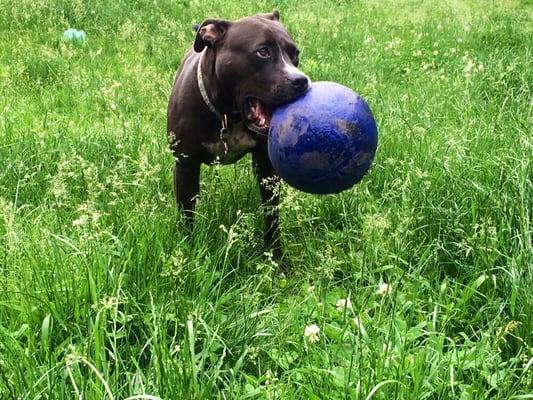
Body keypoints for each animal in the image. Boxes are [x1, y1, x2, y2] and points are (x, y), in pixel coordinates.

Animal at [166, 10, 308, 268]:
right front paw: (187, 254)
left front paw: (276, 258)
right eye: (263, 52)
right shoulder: (185, 165)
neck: (228, 116)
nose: (301, 81)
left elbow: (272, 216)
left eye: (295, 54)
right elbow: (187, 214)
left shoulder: (267, 168)